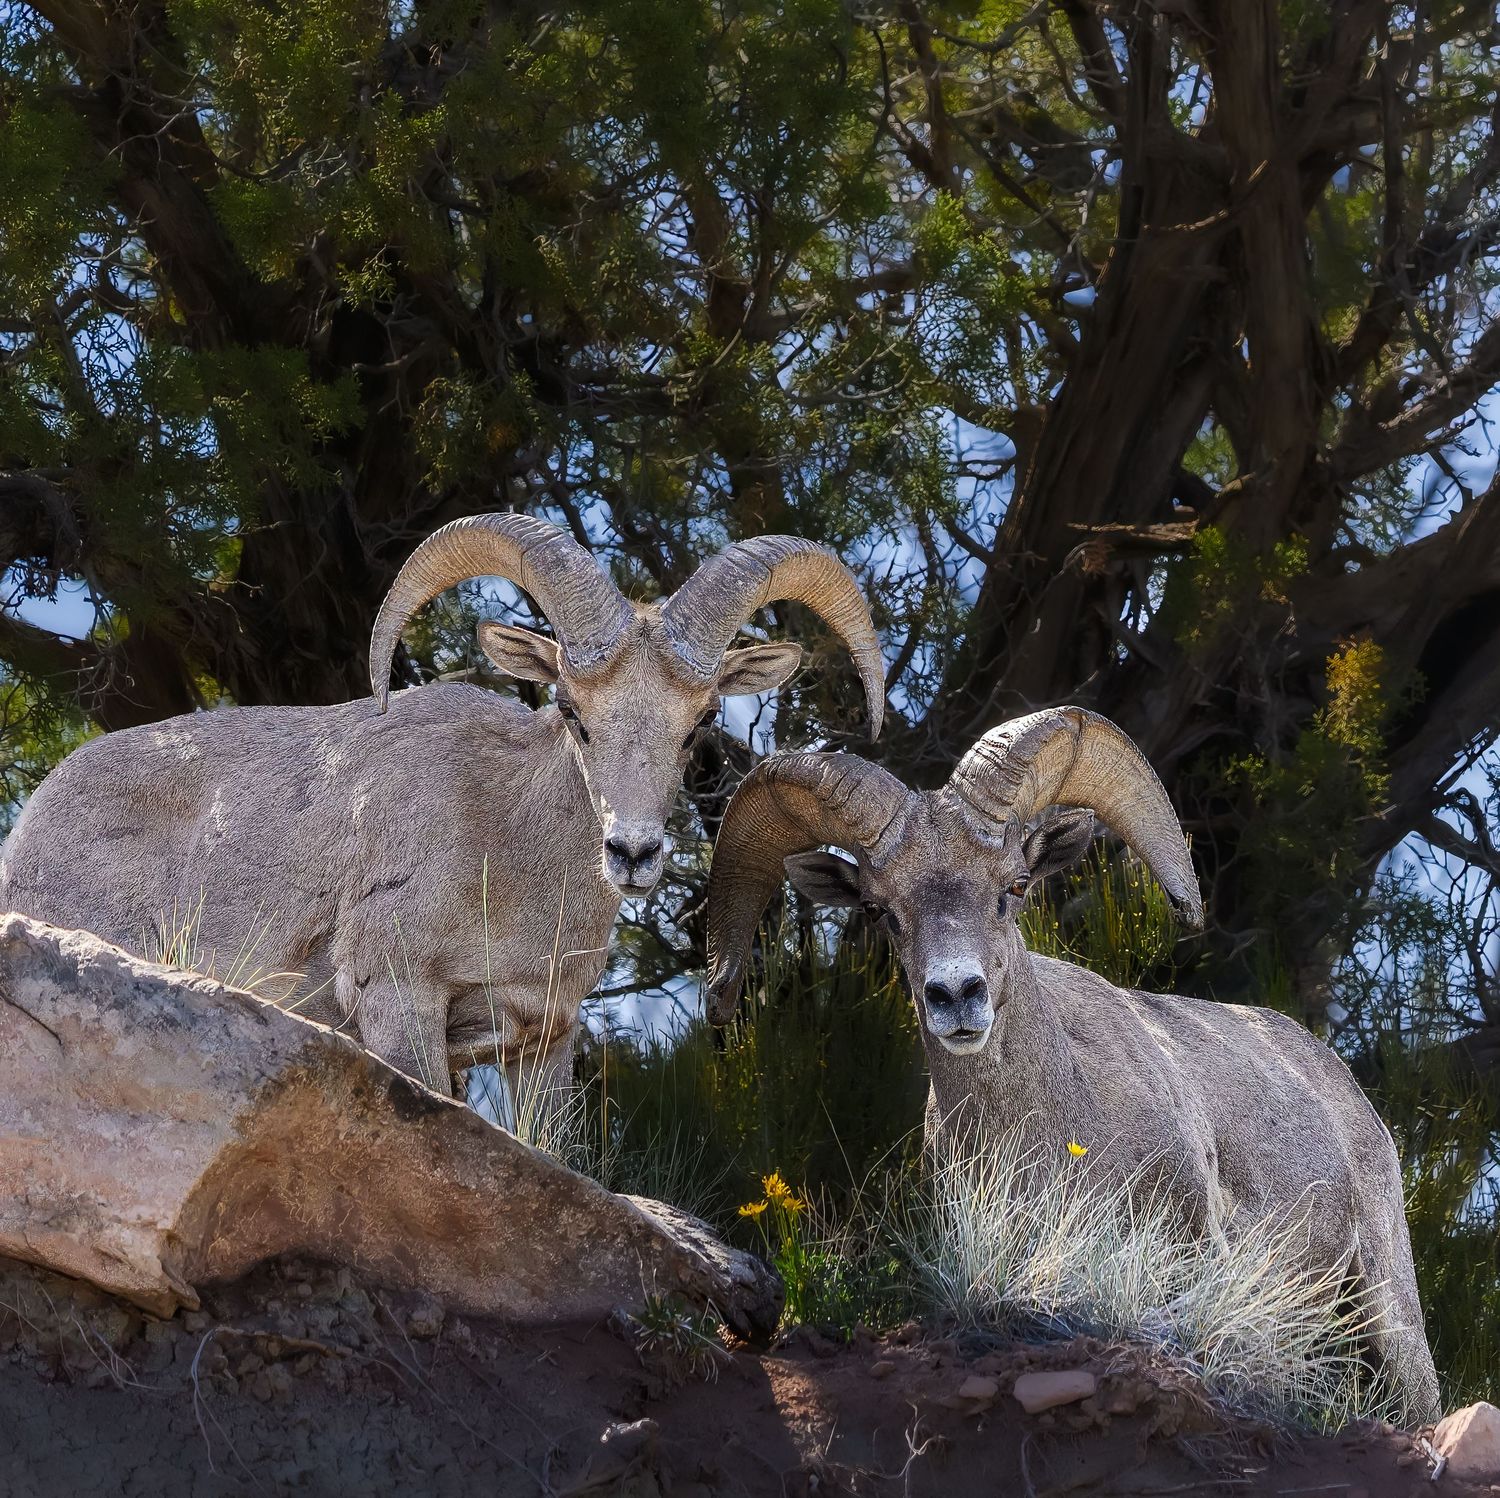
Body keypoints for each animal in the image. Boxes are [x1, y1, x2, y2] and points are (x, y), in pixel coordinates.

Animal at [0, 513, 885, 1108]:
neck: (508, 860)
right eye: (570, 709)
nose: (632, 855)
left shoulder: (543, 1042)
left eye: (697, 722)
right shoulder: (400, 1006)